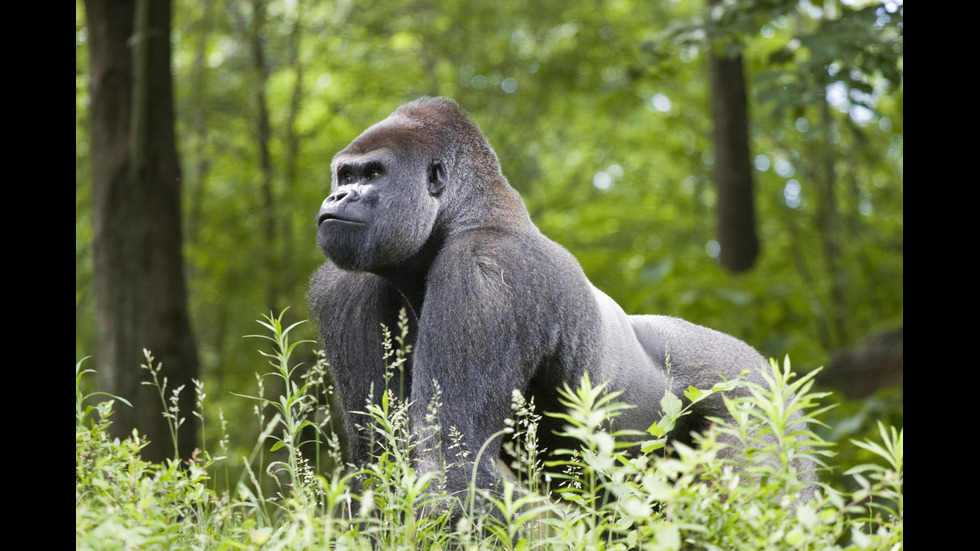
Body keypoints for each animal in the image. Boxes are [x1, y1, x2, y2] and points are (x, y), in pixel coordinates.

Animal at [310, 98, 808, 504]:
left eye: (374, 174)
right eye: (345, 175)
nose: (337, 195)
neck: (463, 216)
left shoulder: (485, 271)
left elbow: (454, 462)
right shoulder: (347, 287)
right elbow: (379, 459)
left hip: (754, 394)